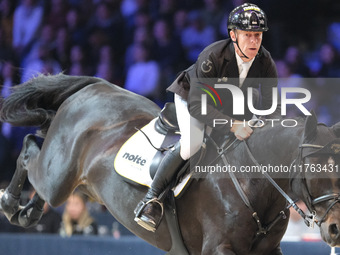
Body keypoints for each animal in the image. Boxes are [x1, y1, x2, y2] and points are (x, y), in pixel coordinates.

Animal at [0, 73, 340, 253]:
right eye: (316, 168)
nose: (336, 229)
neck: (252, 184)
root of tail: (93, 87)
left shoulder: (269, 250)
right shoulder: (217, 247)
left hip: (84, 186)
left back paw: (28, 210)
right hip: (58, 178)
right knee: (29, 151)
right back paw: (11, 203)